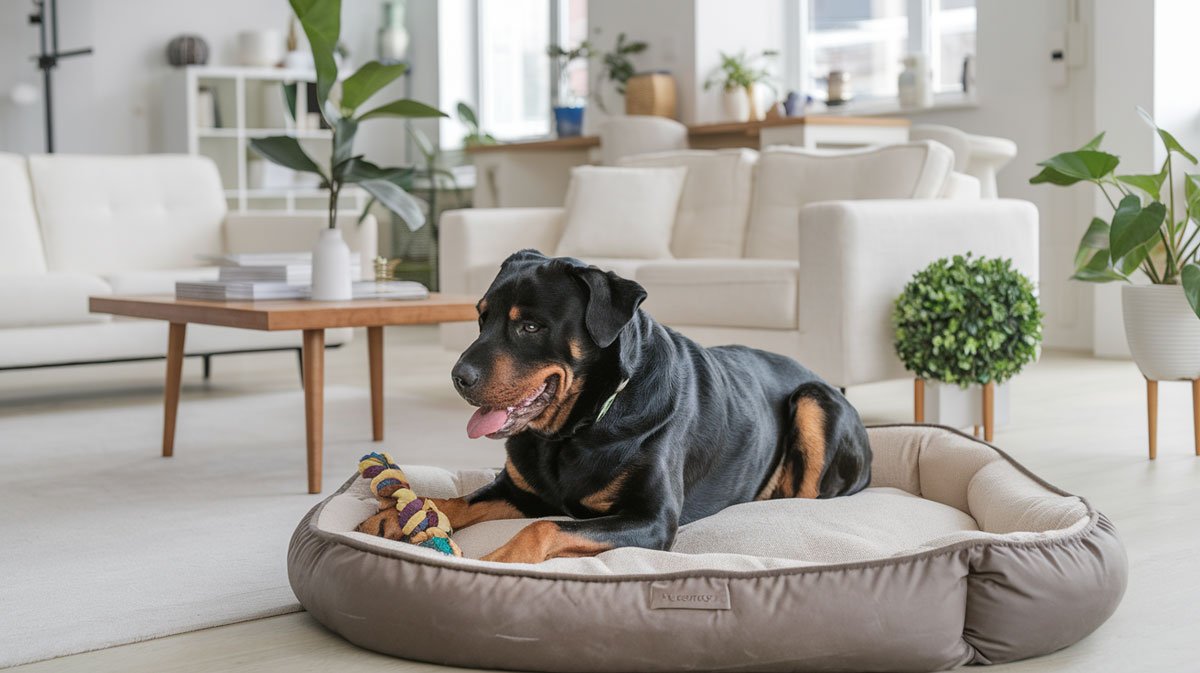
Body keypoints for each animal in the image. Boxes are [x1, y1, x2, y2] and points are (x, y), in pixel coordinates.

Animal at [355, 248, 873, 561]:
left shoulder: (652, 520)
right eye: (481, 319)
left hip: (814, 399)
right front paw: (392, 516)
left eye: (530, 327)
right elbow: (455, 500)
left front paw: (500, 559)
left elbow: (543, 528)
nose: (458, 376)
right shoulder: (522, 492)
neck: (575, 430)